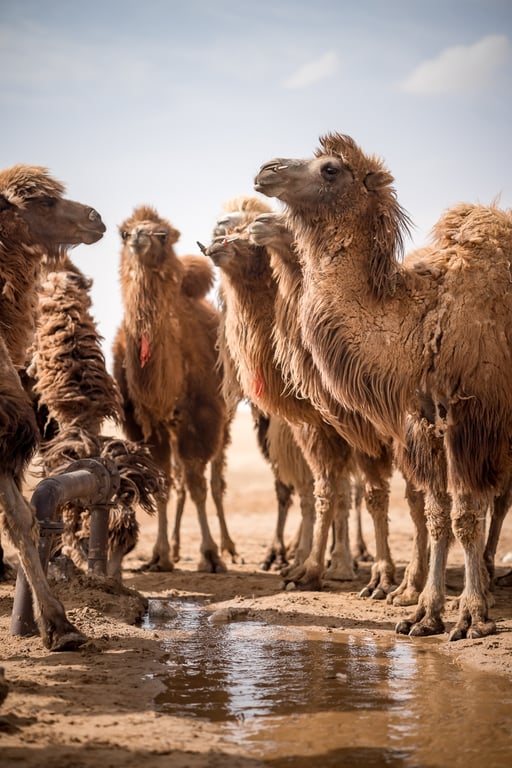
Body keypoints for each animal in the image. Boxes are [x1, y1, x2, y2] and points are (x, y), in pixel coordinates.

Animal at [112, 207, 236, 572]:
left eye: (163, 234)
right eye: (124, 233)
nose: (140, 237)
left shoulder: (202, 417)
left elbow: (198, 485)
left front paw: (210, 555)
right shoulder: (149, 425)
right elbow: (164, 484)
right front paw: (161, 556)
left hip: (223, 421)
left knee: (214, 480)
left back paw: (228, 547)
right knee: (180, 480)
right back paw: (180, 548)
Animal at [256, 129, 512, 640]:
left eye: (330, 169)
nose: (265, 170)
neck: (422, 320)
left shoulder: (472, 418)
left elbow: (465, 513)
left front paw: (471, 615)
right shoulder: (424, 419)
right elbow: (437, 514)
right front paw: (425, 613)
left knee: (499, 500)